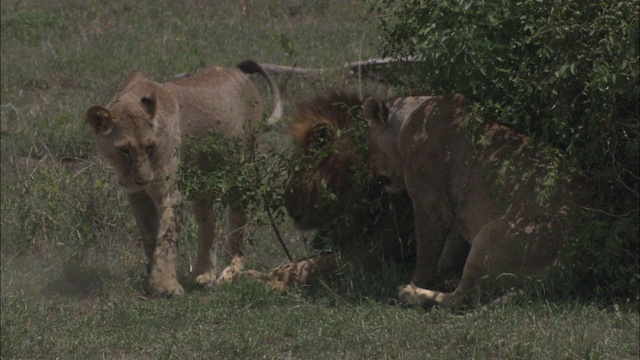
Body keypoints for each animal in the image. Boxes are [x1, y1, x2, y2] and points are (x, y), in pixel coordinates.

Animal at [85, 59, 282, 296]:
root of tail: (240, 74)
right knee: (209, 224)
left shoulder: (168, 192)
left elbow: (166, 238)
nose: (143, 180)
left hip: (244, 170)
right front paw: (152, 279)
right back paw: (203, 275)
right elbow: (150, 236)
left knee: (238, 225)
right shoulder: (136, 195)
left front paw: (166, 286)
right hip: (203, 185)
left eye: (150, 146)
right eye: (124, 150)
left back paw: (229, 272)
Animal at [252, 92, 418, 290]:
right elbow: (297, 263)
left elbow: (303, 267)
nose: (288, 205)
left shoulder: (371, 256)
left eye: (299, 167)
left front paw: (250, 277)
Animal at [364, 94, 580, 308]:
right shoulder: (455, 211)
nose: (372, 174)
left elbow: (425, 255)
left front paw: (416, 281)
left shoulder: (431, 205)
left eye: (370, 147)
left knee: (460, 298)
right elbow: (448, 251)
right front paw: (441, 272)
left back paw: (410, 294)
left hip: (493, 234)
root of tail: (572, 266)